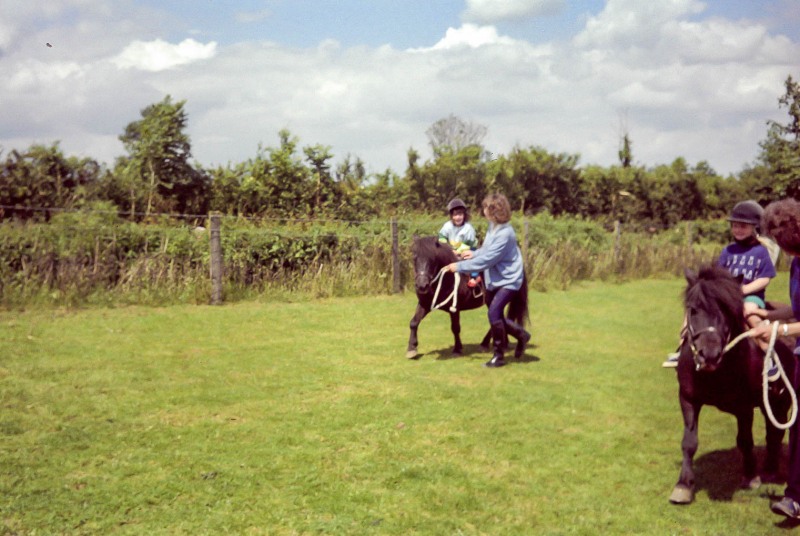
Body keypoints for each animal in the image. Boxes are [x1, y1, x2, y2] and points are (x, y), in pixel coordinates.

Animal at [668, 266, 792, 504]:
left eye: (726, 310)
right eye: (693, 310)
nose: (709, 355)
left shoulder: (744, 408)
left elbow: (745, 440)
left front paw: (751, 476)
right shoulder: (687, 399)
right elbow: (689, 442)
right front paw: (683, 485)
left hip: (782, 402)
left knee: (775, 433)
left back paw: (770, 470)